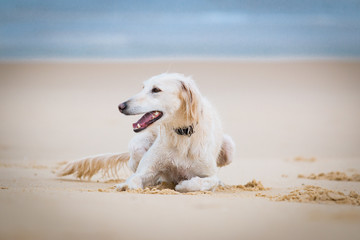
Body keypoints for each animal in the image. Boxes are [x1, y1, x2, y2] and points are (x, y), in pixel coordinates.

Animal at [57, 73, 235, 193]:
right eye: (143, 87)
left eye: (156, 89)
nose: (121, 106)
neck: (181, 134)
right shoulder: (146, 170)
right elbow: (135, 179)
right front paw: (127, 185)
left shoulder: (210, 175)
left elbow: (202, 182)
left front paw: (183, 184)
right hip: (137, 147)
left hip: (230, 149)